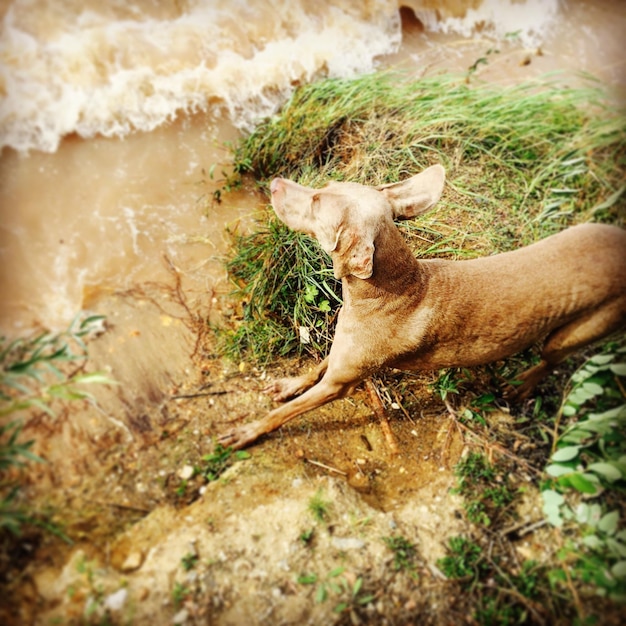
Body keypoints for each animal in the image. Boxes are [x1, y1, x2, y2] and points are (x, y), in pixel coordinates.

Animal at [218, 163, 624, 446]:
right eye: (326, 186)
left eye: (317, 202)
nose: (274, 182)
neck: (388, 291)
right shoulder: (344, 349)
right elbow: (315, 367)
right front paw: (289, 383)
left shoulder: (340, 383)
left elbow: (286, 412)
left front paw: (249, 431)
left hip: (578, 331)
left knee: (550, 361)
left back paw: (522, 384)